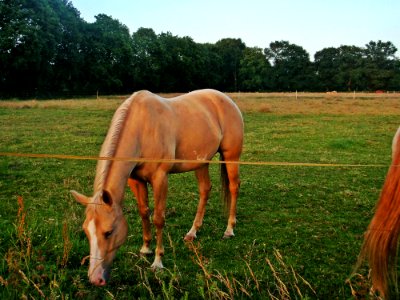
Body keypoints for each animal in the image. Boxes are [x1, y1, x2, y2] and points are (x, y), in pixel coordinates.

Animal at [71, 88, 244, 286]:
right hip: (201, 162)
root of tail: (226, 99)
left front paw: (157, 261)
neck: (141, 128)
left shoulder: (160, 178)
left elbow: (158, 219)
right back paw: (192, 232)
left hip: (231, 156)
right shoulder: (136, 181)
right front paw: (145, 248)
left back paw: (229, 229)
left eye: (108, 232)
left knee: (234, 187)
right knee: (205, 190)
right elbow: (144, 212)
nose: (95, 278)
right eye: (86, 231)